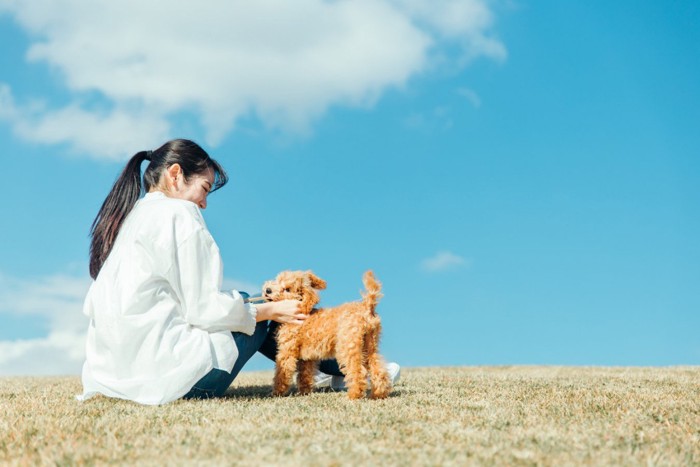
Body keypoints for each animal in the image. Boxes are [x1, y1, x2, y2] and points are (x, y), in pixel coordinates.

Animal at [262, 272, 394, 400]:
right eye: (277, 279)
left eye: (288, 289)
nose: (268, 290)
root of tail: (367, 306)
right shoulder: (306, 357)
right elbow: (305, 374)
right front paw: (305, 392)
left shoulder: (287, 350)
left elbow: (282, 372)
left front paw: (277, 393)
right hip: (369, 344)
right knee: (378, 368)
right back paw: (378, 394)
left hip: (347, 345)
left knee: (358, 370)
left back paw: (354, 395)